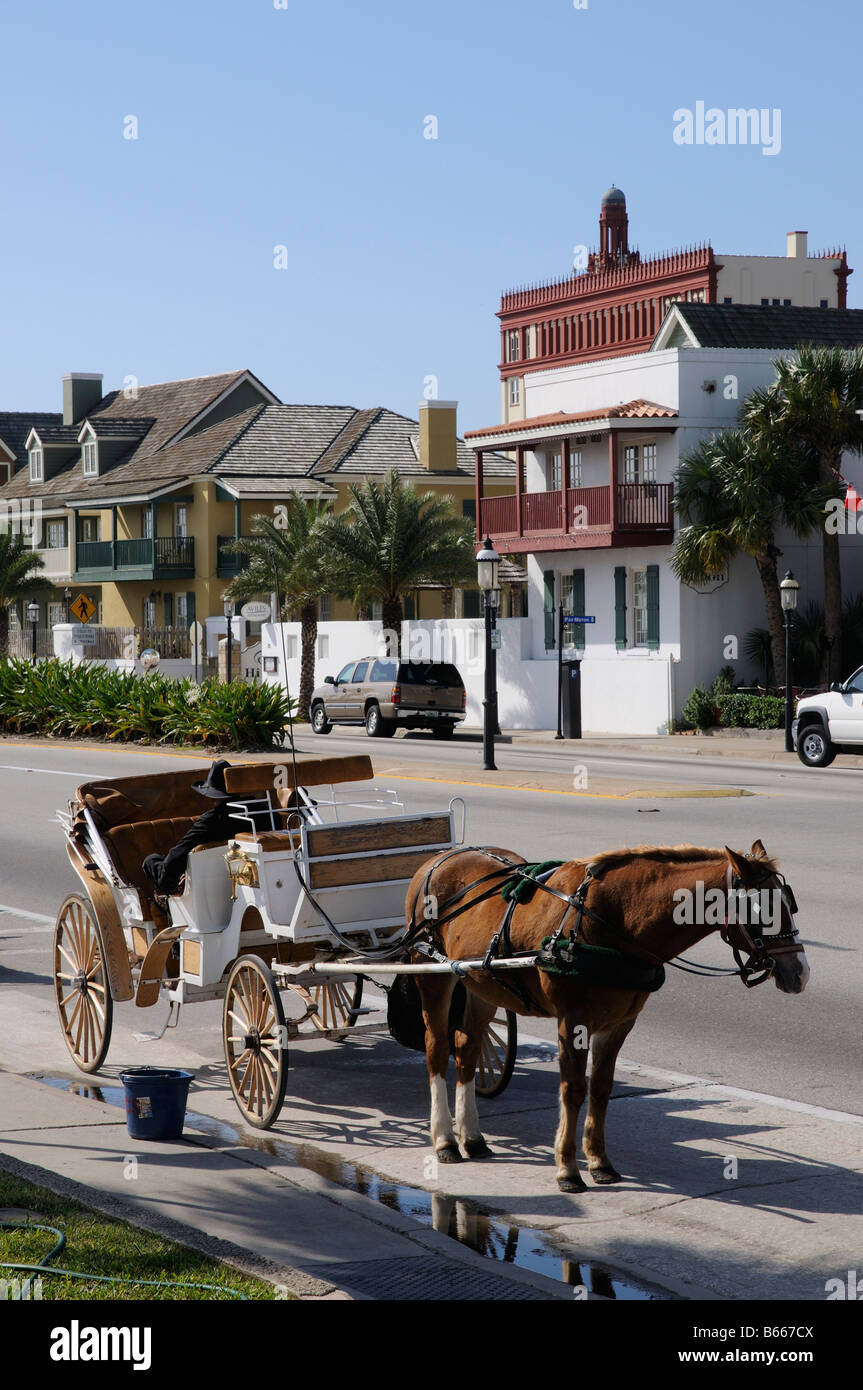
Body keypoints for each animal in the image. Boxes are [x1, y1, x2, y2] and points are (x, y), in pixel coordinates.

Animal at [403, 839, 806, 1189]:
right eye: (762, 909)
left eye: (788, 902)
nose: (799, 972)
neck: (615, 922)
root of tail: (439, 858)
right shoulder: (573, 1019)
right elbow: (573, 1090)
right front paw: (567, 1169)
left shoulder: (619, 1023)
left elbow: (600, 1088)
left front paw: (599, 1162)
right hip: (432, 972)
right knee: (437, 1049)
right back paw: (445, 1140)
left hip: (480, 984)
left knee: (467, 1048)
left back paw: (471, 1136)